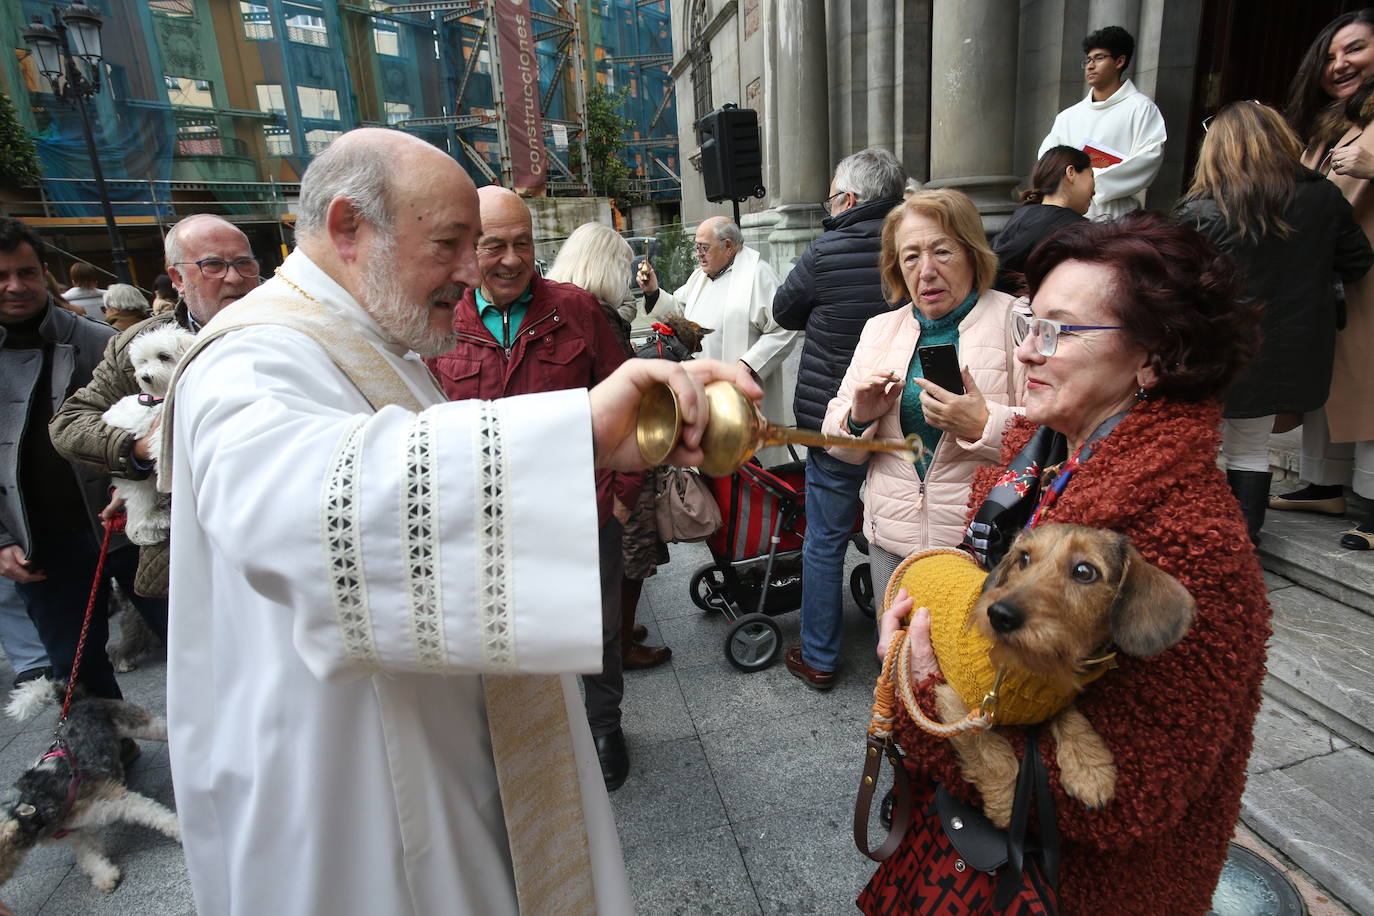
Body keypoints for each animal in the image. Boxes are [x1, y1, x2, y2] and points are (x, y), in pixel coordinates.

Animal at [0, 683, 179, 889]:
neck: (36, 803)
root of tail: (73, 704)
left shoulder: (116, 800)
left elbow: (158, 816)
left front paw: (181, 831)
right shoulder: (75, 833)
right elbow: (88, 857)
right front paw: (106, 877)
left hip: (141, 725)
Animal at [100, 325, 196, 543]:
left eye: (163, 356)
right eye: (143, 361)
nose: (145, 376)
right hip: (139, 484)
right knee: (139, 513)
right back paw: (154, 525)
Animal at [939, 521, 1198, 829]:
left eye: (1084, 571)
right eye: (1024, 558)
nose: (999, 614)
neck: (1031, 671)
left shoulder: (1056, 698)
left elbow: (1072, 717)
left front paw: (1089, 771)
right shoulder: (957, 705)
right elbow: (994, 759)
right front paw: (1005, 806)